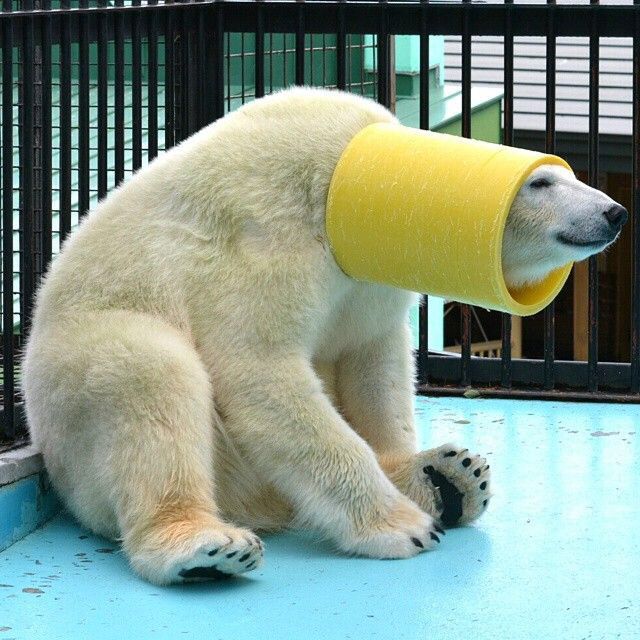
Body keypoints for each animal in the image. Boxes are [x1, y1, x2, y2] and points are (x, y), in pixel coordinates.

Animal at [22, 87, 627, 585]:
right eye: (542, 182)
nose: (614, 212)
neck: (341, 181)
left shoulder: (368, 274)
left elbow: (371, 357)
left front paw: (419, 479)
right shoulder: (264, 236)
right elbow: (260, 371)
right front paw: (401, 526)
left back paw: (451, 476)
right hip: (80, 383)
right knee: (147, 374)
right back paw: (205, 546)